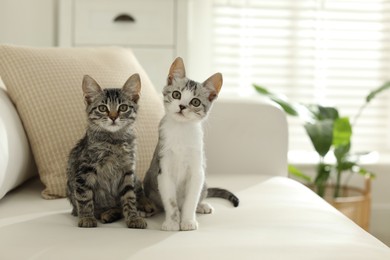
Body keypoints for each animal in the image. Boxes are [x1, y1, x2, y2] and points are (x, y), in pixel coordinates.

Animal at [66, 73, 153, 228]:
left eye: (123, 107)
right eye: (102, 108)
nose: (113, 117)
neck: (114, 141)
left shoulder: (128, 171)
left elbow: (129, 197)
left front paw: (133, 217)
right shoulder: (84, 170)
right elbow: (84, 196)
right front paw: (87, 218)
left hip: (135, 178)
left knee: (137, 191)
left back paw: (145, 204)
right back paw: (108, 213)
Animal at [144, 57, 238, 232]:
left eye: (195, 102)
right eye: (176, 94)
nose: (182, 106)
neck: (181, 131)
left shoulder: (197, 170)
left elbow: (191, 200)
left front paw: (188, 221)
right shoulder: (164, 168)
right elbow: (171, 202)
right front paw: (172, 222)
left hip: (204, 182)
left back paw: (202, 206)